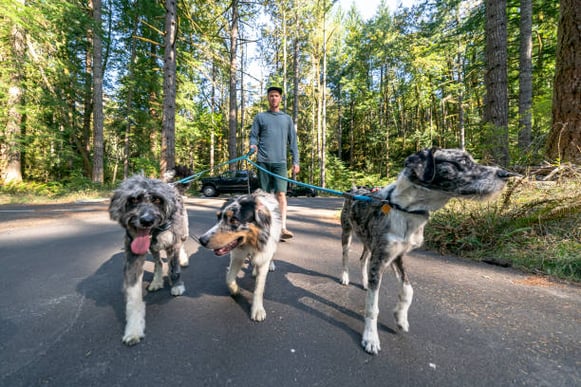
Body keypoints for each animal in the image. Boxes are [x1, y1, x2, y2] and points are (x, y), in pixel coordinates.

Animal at [109, 173, 190, 346]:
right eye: (133, 200)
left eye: (157, 200)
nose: (146, 220)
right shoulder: (133, 257)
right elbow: (133, 296)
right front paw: (133, 329)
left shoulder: (173, 244)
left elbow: (174, 268)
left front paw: (177, 285)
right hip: (154, 249)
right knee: (158, 262)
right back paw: (157, 281)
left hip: (184, 232)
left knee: (180, 248)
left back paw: (183, 259)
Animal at [198, 190, 282, 322]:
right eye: (218, 217)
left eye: (233, 220)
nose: (201, 240)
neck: (250, 243)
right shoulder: (237, 256)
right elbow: (229, 278)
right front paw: (235, 289)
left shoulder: (264, 254)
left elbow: (259, 287)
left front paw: (257, 309)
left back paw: (270, 265)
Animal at [340, 148, 516, 354]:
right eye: (462, 161)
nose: (506, 174)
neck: (406, 209)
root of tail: (354, 189)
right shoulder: (381, 258)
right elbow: (372, 307)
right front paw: (370, 338)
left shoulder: (397, 256)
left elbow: (408, 289)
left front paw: (400, 318)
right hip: (347, 234)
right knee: (345, 257)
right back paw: (345, 277)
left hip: (369, 243)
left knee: (363, 259)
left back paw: (365, 281)